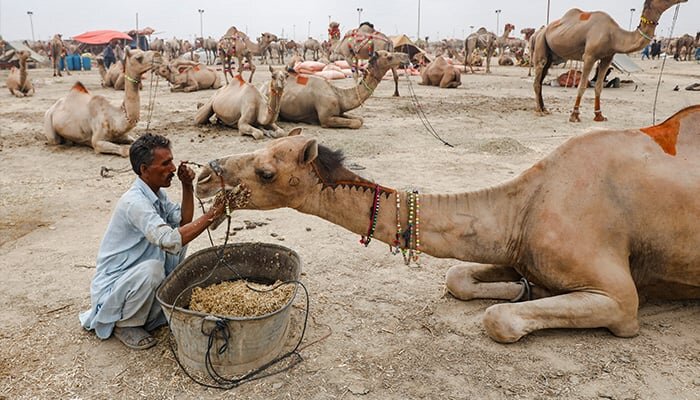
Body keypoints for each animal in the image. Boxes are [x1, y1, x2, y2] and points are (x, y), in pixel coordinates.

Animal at [194, 104, 700, 342]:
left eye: (266, 171)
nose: (204, 174)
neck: (525, 207)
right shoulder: (512, 250)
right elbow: (458, 276)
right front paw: (522, 289)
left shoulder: (619, 298)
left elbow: (498, 319)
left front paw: (518, 300)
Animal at [262, 49, 408, 128]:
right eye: (389, 56)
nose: (406, 57)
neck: (338, 95)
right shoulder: (326, 118)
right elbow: (356, 123)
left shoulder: (339, 112)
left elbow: (360, 119)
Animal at [532, 0, 688, 122]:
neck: (614, 35)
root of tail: (538, 33)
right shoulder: (589, 56)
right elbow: (582, 86)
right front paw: (574, 115)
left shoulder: (607, 57)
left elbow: (599, 86)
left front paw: (599, 116)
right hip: (541, 43)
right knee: (537, 80)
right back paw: (539, 111)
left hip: (550, 56)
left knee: (541, 79)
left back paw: (544, 108)